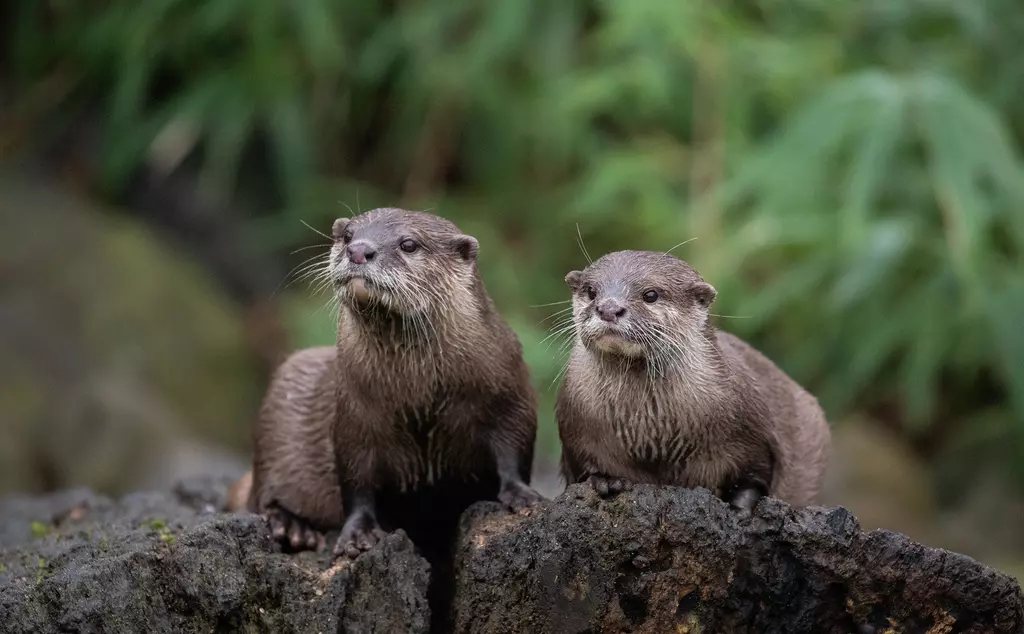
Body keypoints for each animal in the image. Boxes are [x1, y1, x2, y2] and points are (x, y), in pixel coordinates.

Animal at [240, 207, 544, 561]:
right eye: (348, 235)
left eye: (408, 244)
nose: (358, 250)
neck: (420, 396)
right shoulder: (353, 419)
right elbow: (356, 481)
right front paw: (358, 533)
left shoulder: (509, 395)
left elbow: (512, 450)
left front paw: (521, 495)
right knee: (261, 496)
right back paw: (291, 527)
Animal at [552, 250, 831, 514]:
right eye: (591, 291)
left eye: (650, 294)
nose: (609, 308)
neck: (651, 434)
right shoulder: (579, 430)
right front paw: (605, 480)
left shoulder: (752, 436)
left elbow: (755, 475)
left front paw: (740, 504)